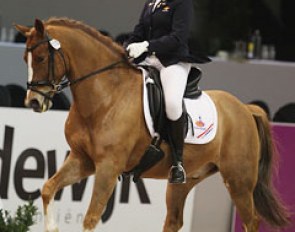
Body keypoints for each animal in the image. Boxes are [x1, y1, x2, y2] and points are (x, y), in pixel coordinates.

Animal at [15, 18, 290, 232]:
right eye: (24, 58)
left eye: (40, 57)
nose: (33, 102)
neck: (106, 95)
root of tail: (245, 108)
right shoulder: (83, 160)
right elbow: (48, 188)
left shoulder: (108, 168)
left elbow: (91, 218)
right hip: (184, 181)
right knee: (173, 221)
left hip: (239, 181)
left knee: (252, 221)